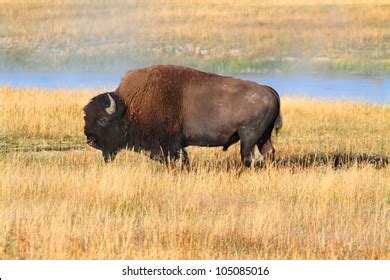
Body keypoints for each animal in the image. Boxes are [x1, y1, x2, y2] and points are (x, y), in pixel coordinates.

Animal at [84, 65, 282, 167]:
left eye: (102, 120)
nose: (90, 140)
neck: (129, 108)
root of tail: (269, 90)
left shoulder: (170, 144)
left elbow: (178, 159)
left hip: (248, 136)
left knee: (247, 157)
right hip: (263, 136)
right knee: (268, 152)